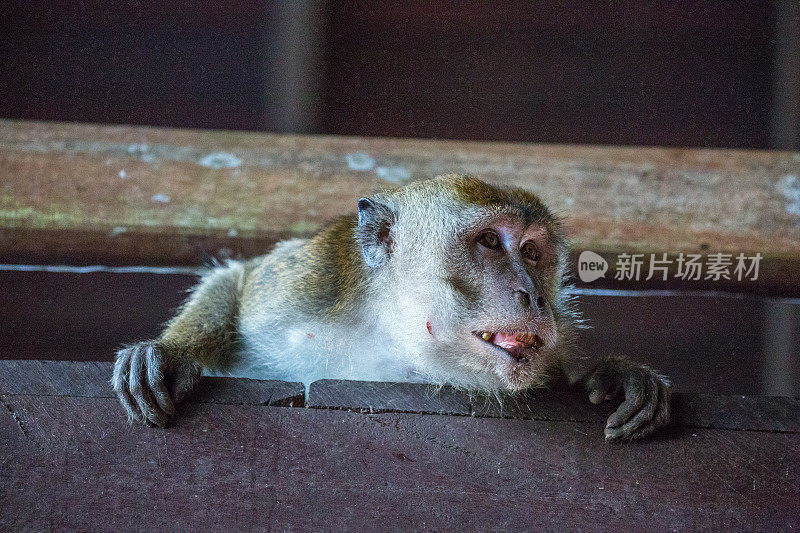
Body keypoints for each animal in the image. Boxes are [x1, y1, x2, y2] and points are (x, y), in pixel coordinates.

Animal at [111, 175, 668, 440]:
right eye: (490, 241)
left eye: (532, 252)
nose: (534, 294)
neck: (392, 338)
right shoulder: (303, 285)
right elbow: (239, 278)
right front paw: (171, 354)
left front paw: (615, 376)